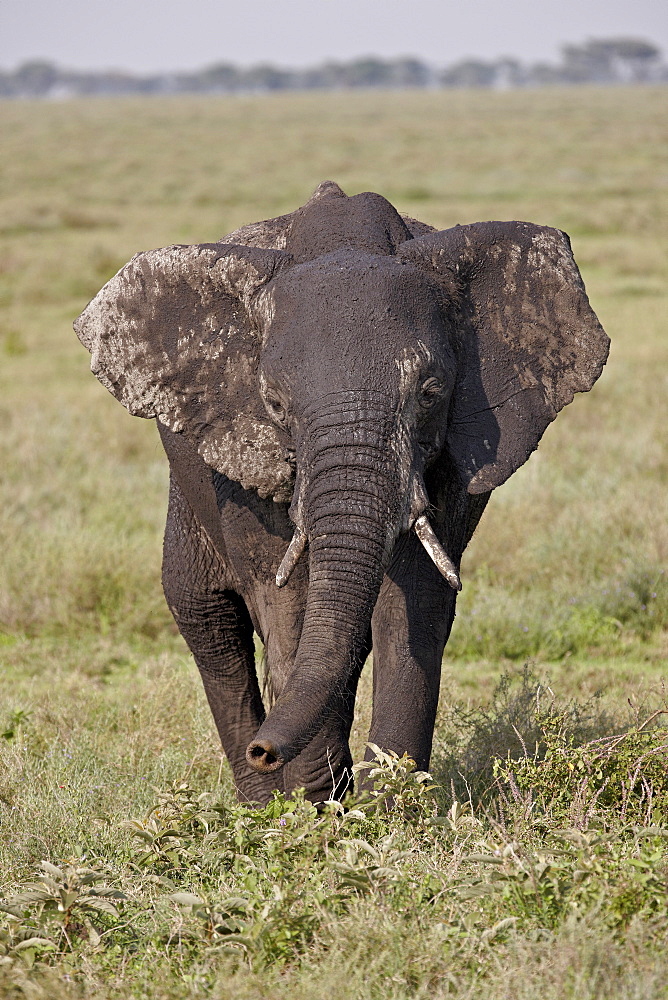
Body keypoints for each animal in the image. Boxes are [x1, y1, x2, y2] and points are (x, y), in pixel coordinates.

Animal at [74, 180, 612, 804]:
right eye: (274, 403)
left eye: (431, 391)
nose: (264, 750)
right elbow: (286, 604)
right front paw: (315, 807)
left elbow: (414, 606)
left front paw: (391, 806)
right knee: (206, 617)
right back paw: (259, 805)